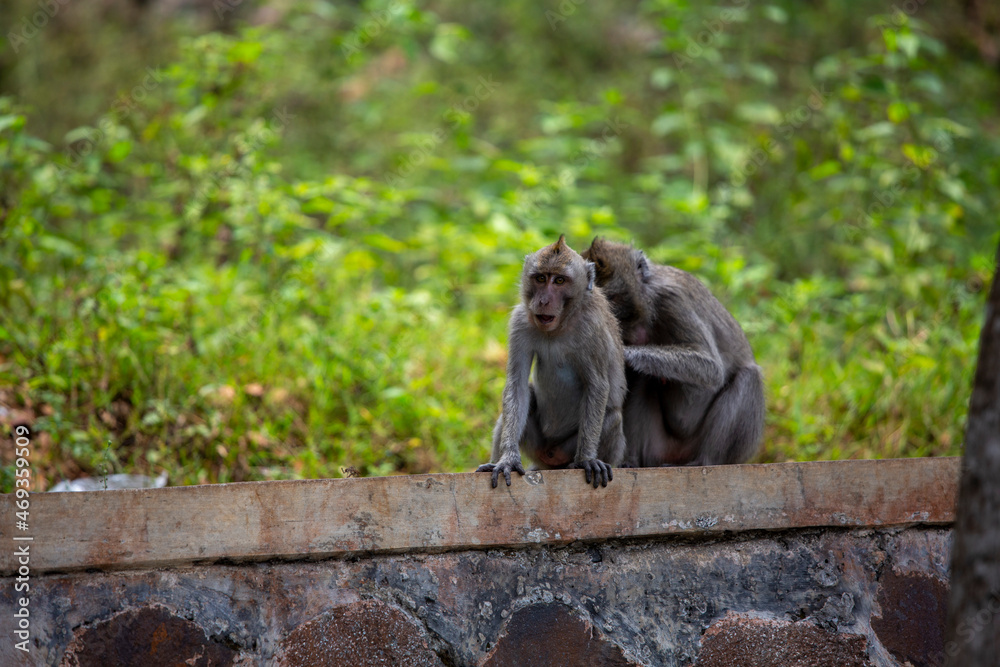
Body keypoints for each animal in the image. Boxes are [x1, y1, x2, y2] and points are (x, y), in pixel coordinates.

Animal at [477, 235, 627, 489]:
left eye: (559, 281)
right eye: (540, 278)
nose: (544, 301)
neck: (560, 325)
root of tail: (548, 460)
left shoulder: (592, 326)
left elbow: (597, 386)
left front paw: (586, 460)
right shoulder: (521, 321)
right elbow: (517, 386)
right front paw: (508, 460)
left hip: (567, 450)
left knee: (612, 415)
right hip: (536, 446)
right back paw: (493, 463)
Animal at [581, 237, 765, 467]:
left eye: (612, 299)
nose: (611, 324)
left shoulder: (672, 299)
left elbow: (712, 367)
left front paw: (625, 353)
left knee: (749, 377)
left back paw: (705, 460)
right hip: (657, 448)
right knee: (644, 376)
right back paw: (631, 461)